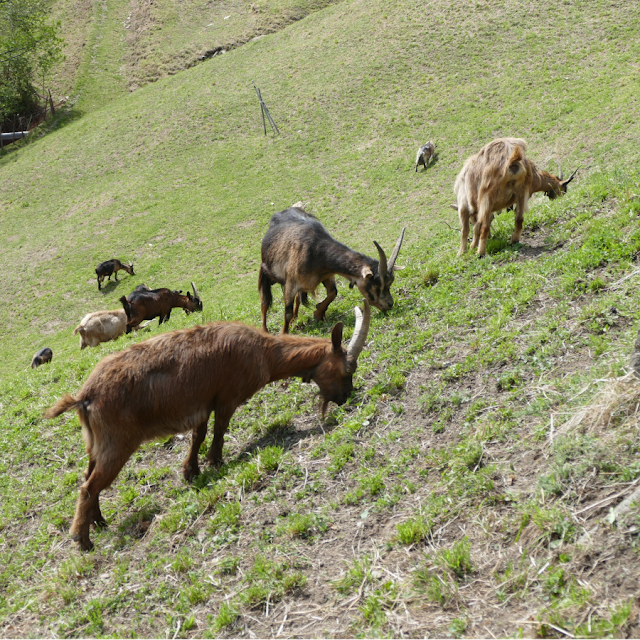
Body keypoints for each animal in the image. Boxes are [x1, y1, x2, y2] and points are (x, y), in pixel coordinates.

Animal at [43, 302, 370, 552]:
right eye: (347, 369)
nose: (346, 397)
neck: (264, 352)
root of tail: (85, 396)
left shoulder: (201, 405)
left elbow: (197, 436)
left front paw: (191, 471)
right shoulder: (227, 398)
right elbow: (220, 430)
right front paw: (216, 462)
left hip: (97, 442)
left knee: (88, 476)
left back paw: (99, 522)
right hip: (118, 442)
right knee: (88, 487)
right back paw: (83, 540)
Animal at [258, 206, 402, 336]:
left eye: (390, 283)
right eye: (376, 284)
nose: (390, 304)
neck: (316, 251)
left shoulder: (326, 275)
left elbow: (333, 293)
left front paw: (318, 313)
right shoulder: (291, 283)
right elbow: (286, 312)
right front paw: (284, 334)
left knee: (297, 300)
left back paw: (294, 320)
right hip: (266, 271)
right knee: (264, 301)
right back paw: (264, 330)